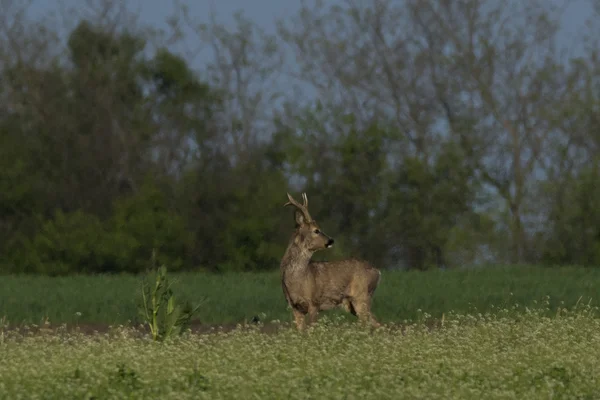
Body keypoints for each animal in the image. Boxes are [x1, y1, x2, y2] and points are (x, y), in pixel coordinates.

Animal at [280, 192, 382, 330]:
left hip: (361, 296)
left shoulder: (314, 303)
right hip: (353, 303)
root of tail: (378, 271)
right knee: (377, 323)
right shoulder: (295, 307)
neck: (297, 279)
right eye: (316, 230)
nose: (331, 240)